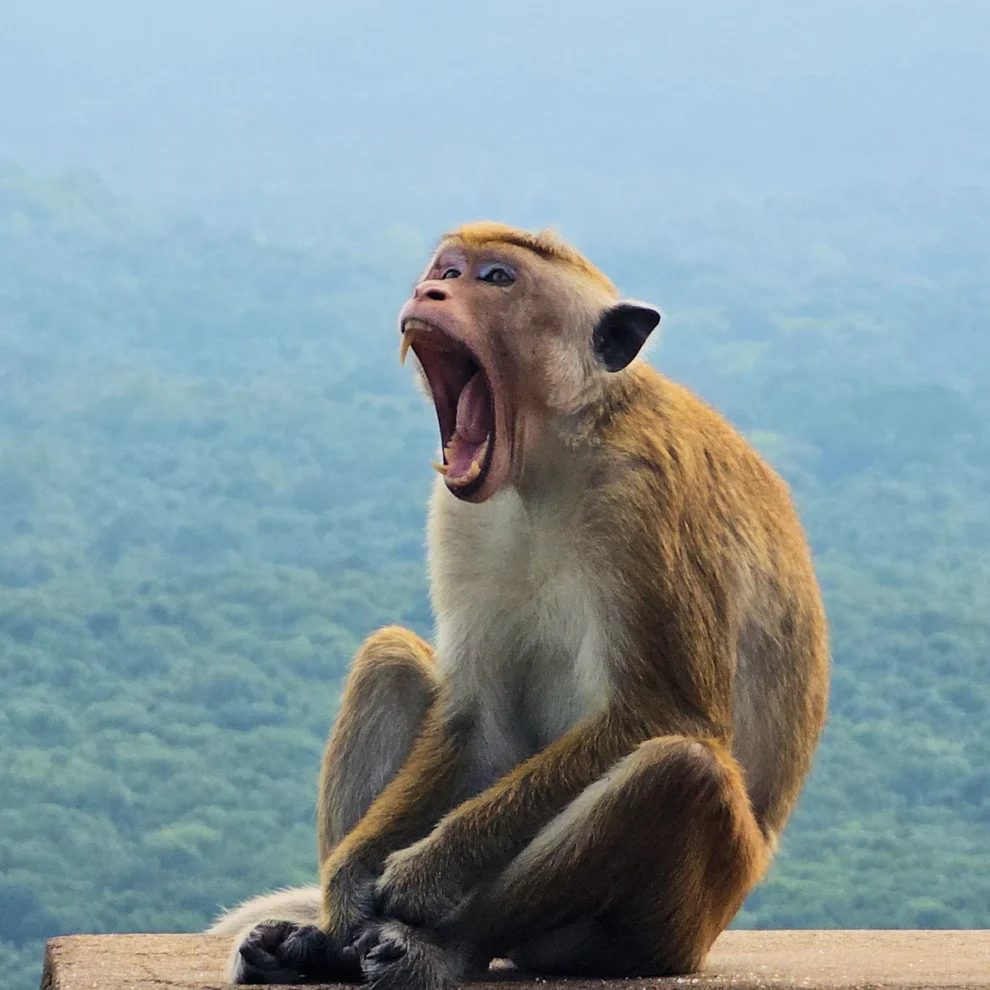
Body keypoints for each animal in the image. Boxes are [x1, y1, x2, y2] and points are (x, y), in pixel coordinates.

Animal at [209, 222, 830, 990]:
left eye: (496, 279)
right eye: (446, 271)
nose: (430, 291)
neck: (551, 455)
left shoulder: (645, 497)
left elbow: (663, 711)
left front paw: (422, 875)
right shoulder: (458, 511)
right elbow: (475, 717)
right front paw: (350, 881)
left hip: (677, 923)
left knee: (677, 771)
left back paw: (449, 945)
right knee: (390, 658)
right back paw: (322, 943)